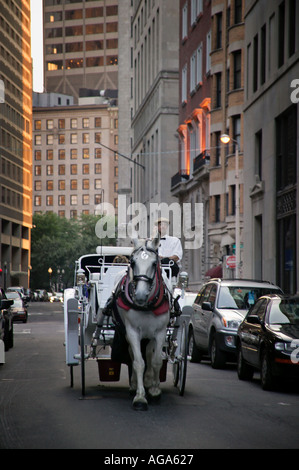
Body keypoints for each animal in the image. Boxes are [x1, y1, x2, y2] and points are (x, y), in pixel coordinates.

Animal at [115, 237, 171, 410]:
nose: (139, 295)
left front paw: (154, 390)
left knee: (149, 353)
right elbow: (138, 362)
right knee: (134, 355)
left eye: (154, 263)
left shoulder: (160, 332)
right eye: (133, 263)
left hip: (150, 335)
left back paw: (148, 381)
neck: (146, 306)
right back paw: (135, 384)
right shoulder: (132, 331)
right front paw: (140, 396)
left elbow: (156, 360)